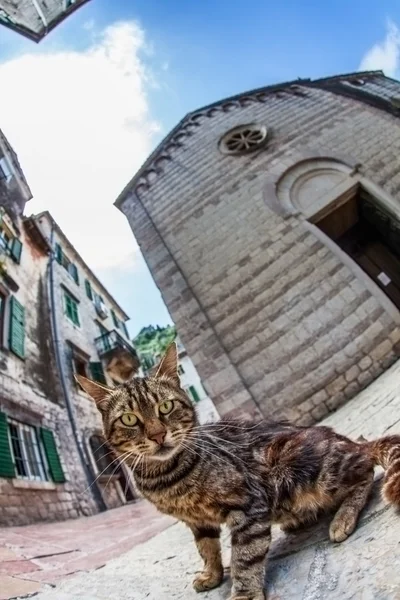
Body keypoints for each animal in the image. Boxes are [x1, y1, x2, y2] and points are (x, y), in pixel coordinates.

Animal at [76, 342, 400, 600]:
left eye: (165, 407)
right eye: (129, 419)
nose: (157, 435)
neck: (165, 478)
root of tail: (345, 440)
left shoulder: (248, 505)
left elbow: (244, 557)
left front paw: (243, 592)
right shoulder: (196, 522)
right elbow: (207, 549)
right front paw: (212, 574)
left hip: (300, 464)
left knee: (365, 471)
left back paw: (342, 517)